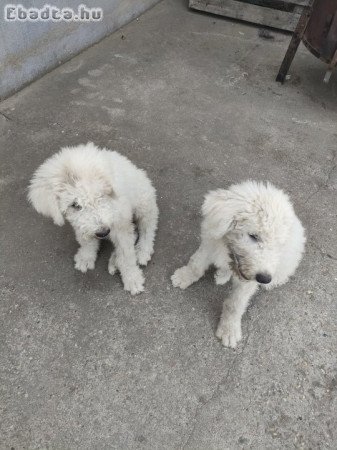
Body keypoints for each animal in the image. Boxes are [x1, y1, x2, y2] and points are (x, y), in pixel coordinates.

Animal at [28, 142, 158, 296]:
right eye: (75, 205)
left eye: (101, 195)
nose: (103, 233)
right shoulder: (80, 224)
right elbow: (86, 241)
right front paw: (86, 257)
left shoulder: (120, 224)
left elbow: (127, 254)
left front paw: (132, 279)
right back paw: (115, 261)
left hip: (143, 203)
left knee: (147, 227)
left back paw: (142, 250)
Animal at [172, 181, 306, 350]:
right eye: (254, 236)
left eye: (277, 245)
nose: (264, 278)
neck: (230, 252)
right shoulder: (210, 244)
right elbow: (196, 264)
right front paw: (184, 276)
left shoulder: (248, 283)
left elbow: (235, 305)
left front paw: (229, 330)